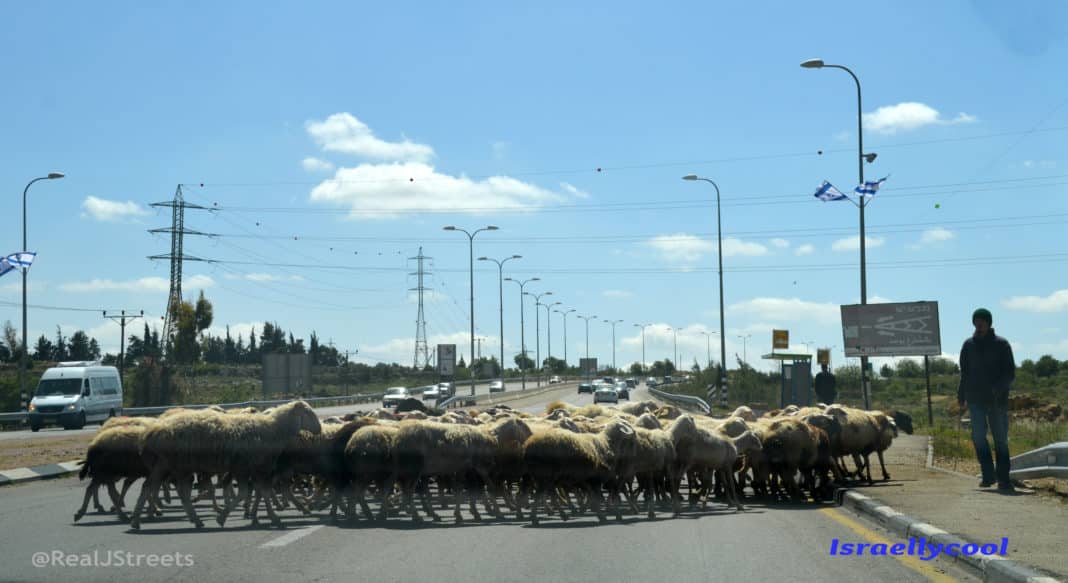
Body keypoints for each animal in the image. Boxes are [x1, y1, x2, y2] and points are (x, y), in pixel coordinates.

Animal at [130, 399, 320, 525]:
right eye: (308, 412)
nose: (318, 429)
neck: (273, 429)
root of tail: (151, 432)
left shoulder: (248, 469)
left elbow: (255, 492)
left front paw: (252, 514)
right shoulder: (249, 468)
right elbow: (256, 492)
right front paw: (272, 517)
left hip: (167, 465)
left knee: (152, 487)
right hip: (171, 464)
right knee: (162, 489)